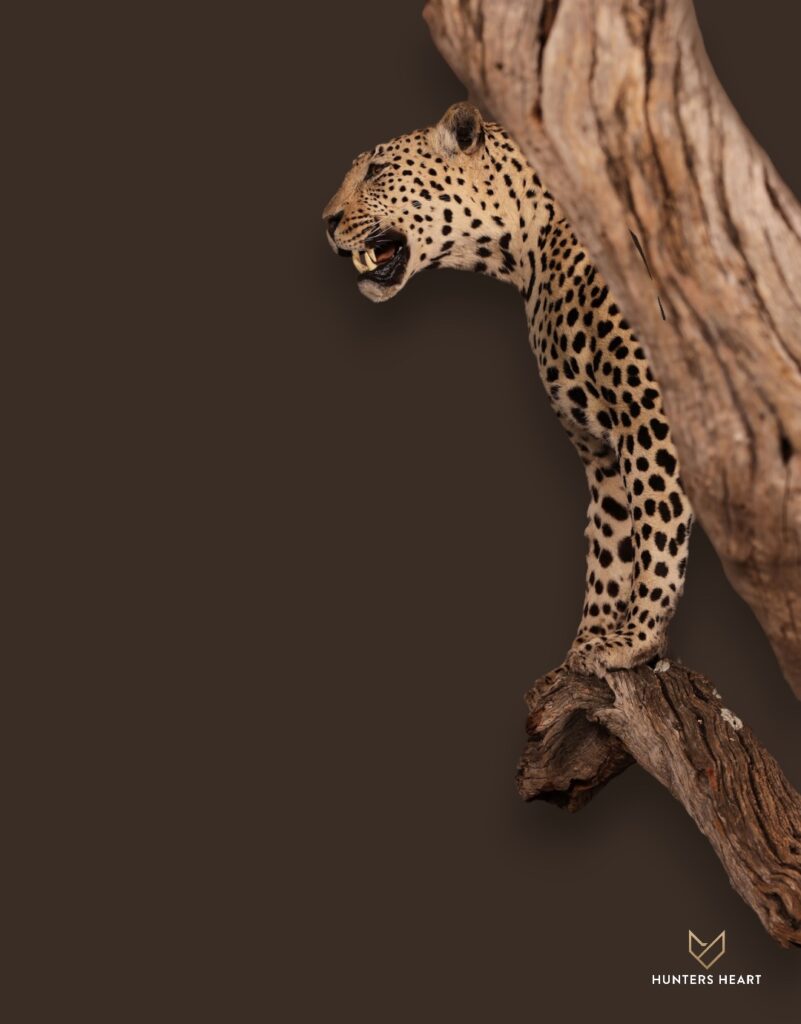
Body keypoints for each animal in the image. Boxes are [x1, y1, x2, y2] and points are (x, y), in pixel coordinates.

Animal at [322, 102, 693, 676]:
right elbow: (610, 547)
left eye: (377, 171)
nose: (326, 222)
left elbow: (658, 522)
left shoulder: (648, 415)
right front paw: (587, 645)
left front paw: (637, 637)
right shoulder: (599, 450)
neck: (528, 250)